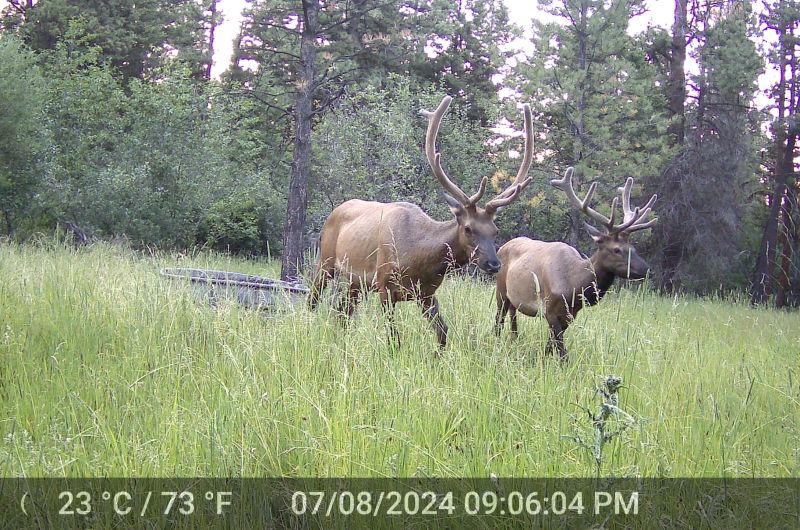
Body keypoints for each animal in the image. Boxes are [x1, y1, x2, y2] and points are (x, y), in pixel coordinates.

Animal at [309, 95, 534, 350]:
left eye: (495, 230)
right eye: (468, 228)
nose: (494, 264)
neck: (418, 258)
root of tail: (335, 211)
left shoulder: (425, 293)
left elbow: (443, 332)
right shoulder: (385, 286)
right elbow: (394, 338)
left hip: (357, 283)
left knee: (341, 312)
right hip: (325, 261)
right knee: (313, 300)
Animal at [494, 167, 657, 360]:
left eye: (633, 248)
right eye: (616, 249)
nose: (647, 270)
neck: (575, 285)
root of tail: (501, 247)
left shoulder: (571, 314)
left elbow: (551, 345)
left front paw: (544, 360)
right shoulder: (549, 308)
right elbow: (561, 351)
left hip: (514, 298)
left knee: (513, 318)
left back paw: (514, 340)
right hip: (500, 291)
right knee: (498, 319)